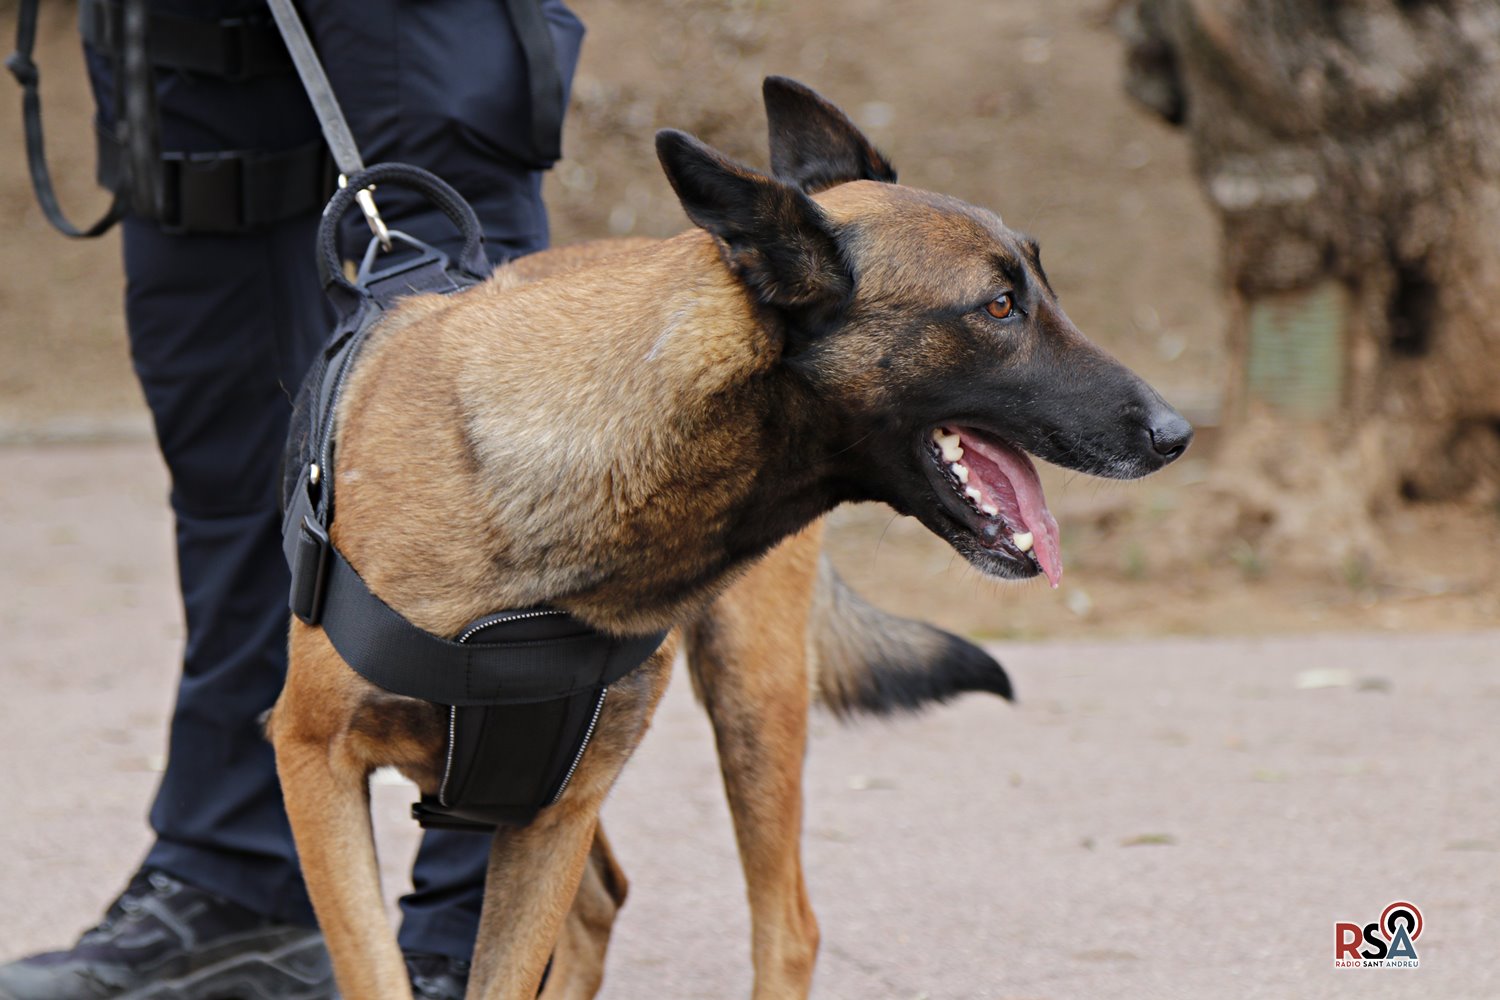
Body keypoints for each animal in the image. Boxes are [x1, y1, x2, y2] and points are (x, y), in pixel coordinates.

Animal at [267, 77, 1191, 999]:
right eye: (999, 307)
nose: (1177, 434)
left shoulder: (554, 807)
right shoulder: (320, 764)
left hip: (753, 697)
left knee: (783, 927)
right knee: (609, 901)